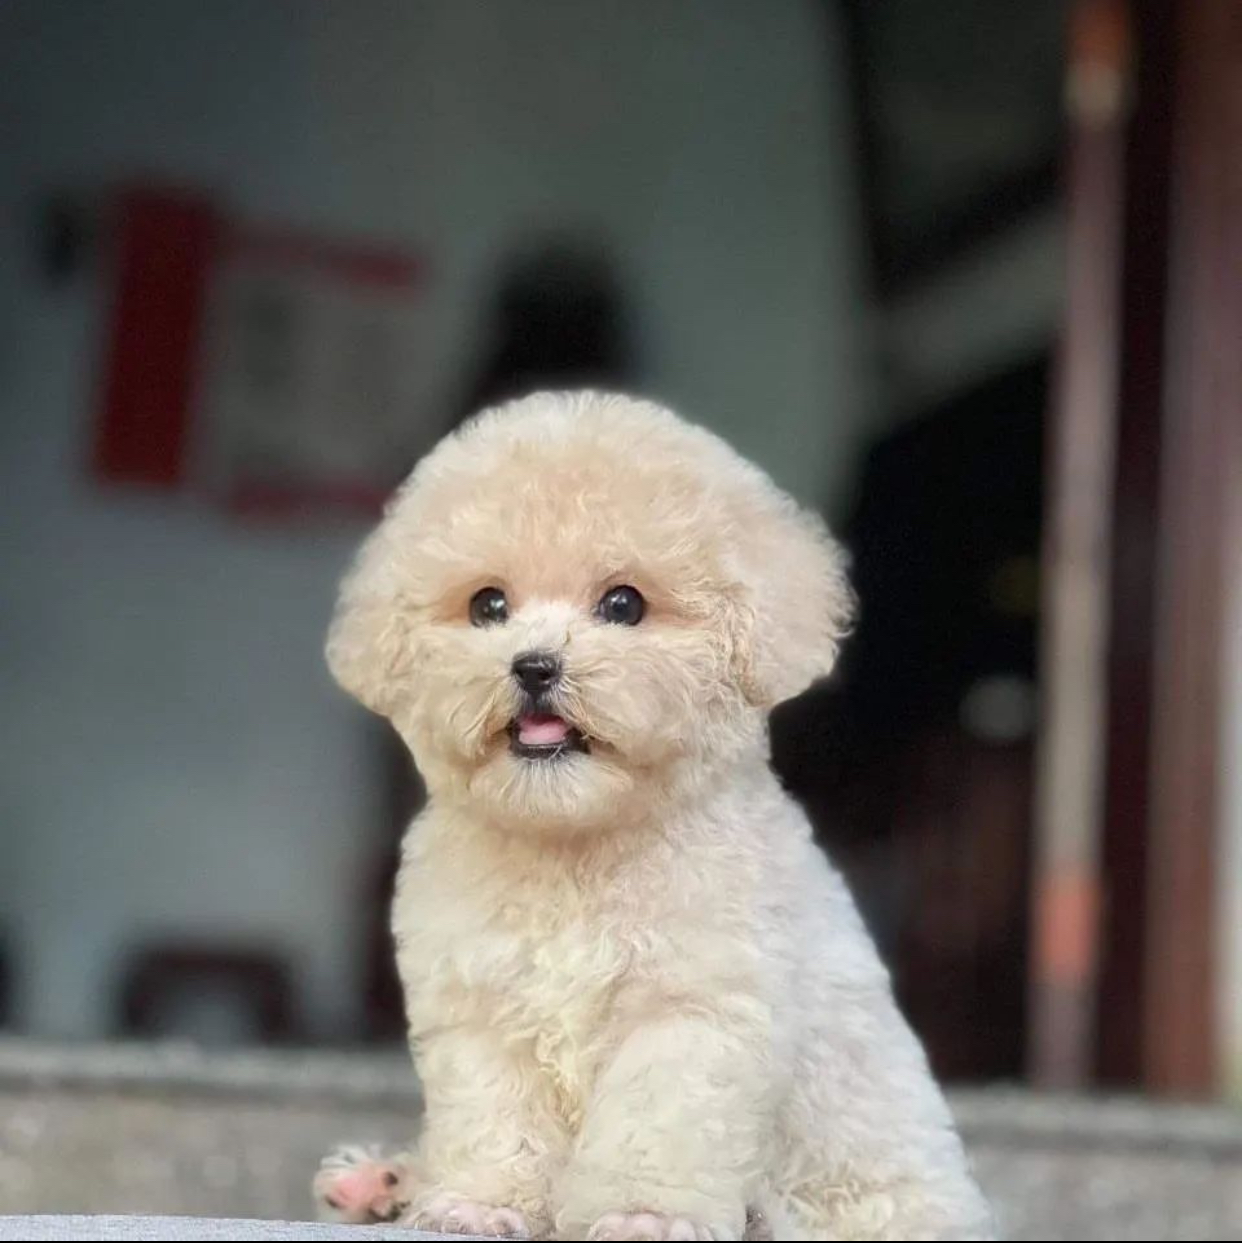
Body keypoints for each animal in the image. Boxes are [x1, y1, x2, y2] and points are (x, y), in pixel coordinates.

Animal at [315, 392, 994, 1238]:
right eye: (487, 604)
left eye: (624, 604)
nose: (534, 664)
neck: (576, 840)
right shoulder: (480, 1010)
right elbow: (494, 1114)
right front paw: (477, 1202)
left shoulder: (690, 1013)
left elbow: (657, 1124)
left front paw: (643, 1216)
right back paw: (380, 1182)